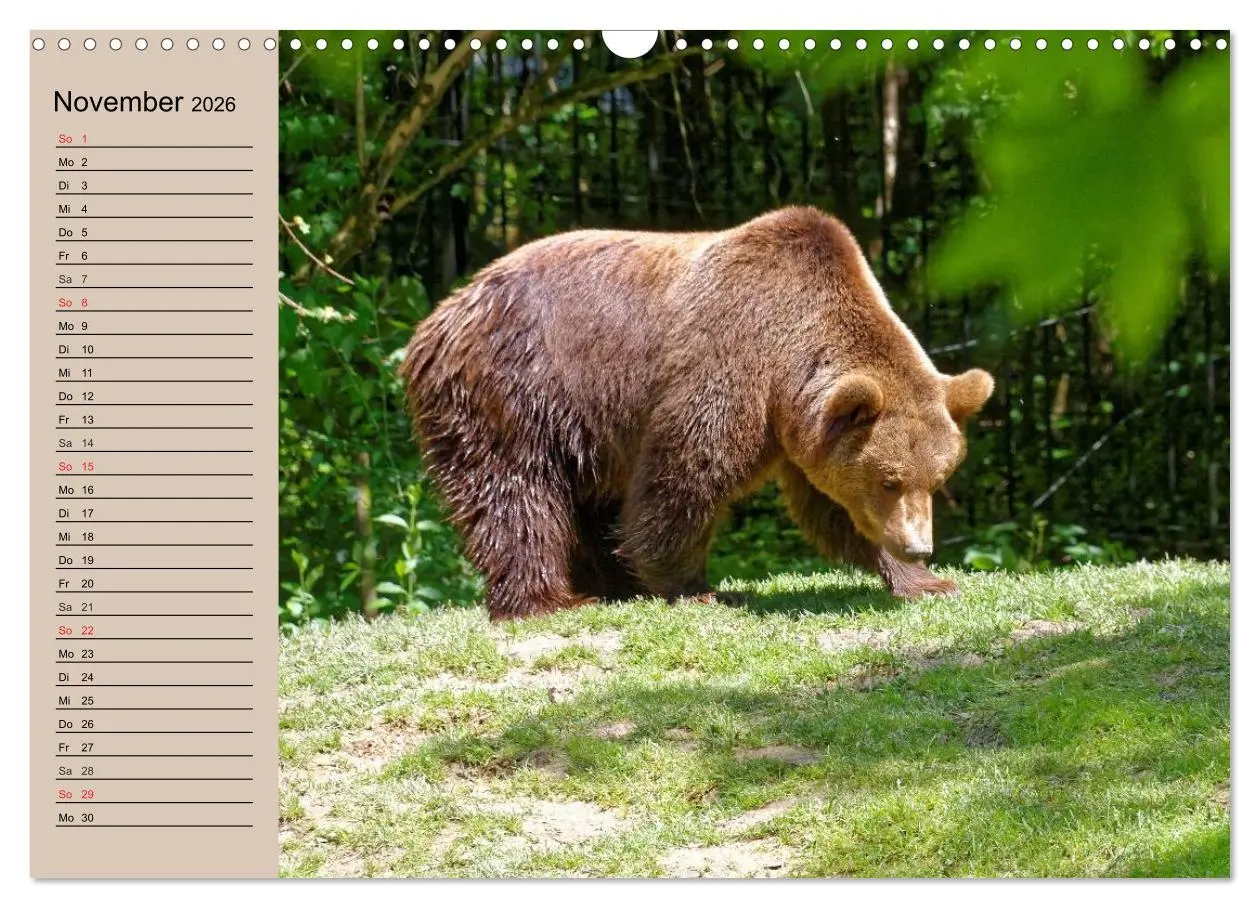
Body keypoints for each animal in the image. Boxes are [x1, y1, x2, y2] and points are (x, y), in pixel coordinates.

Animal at [402, 206, 993, 620]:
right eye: (890, 480)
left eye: (936, 479)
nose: (919, 544)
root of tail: (439, 317)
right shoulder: (729, 361)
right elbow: (687, 473)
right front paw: (697, 588)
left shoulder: (806, 430)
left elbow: (833, 507)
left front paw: (925, 581)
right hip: (516, 390)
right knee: (515, 493)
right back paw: (549, 600)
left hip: (584, 428)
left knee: (586, 501)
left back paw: (614, 586)